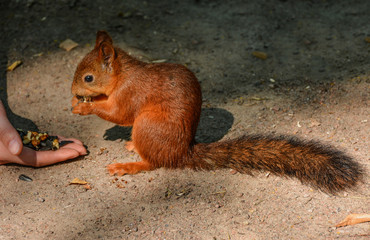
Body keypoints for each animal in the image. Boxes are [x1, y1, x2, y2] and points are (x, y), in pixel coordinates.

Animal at [71, 31, 362, 193]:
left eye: (88, 77)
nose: (73, 91)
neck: (123, 74)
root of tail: (182, 151)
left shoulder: (130, 93)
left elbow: (119, 114)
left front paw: (84, 105)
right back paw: (132, 147)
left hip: (147, 126)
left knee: (153, 162)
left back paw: (127, 165)